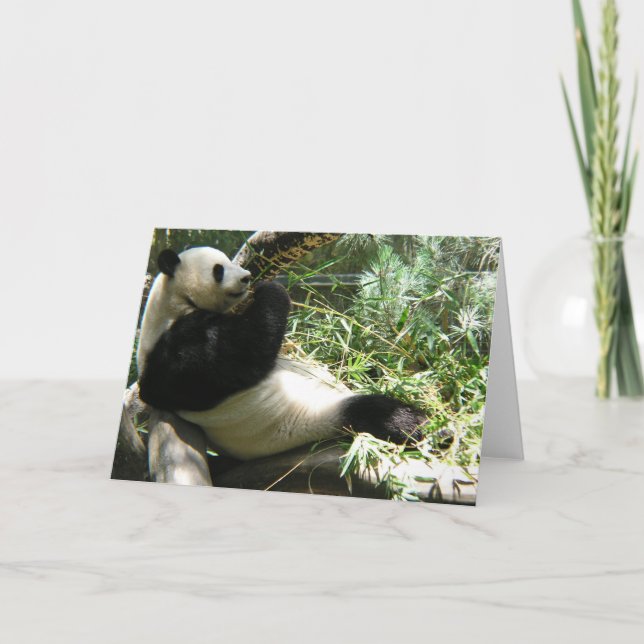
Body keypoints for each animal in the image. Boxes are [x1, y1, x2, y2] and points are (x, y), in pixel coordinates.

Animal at [137, 246, 428, 461]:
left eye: (229, 261)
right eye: (219, 270)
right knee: (372, 412)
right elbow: (240, 355)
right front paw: (272, 289)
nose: (247, 276)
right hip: (319, 414)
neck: (172, 303)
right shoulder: (179, 348)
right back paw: (418, 423)